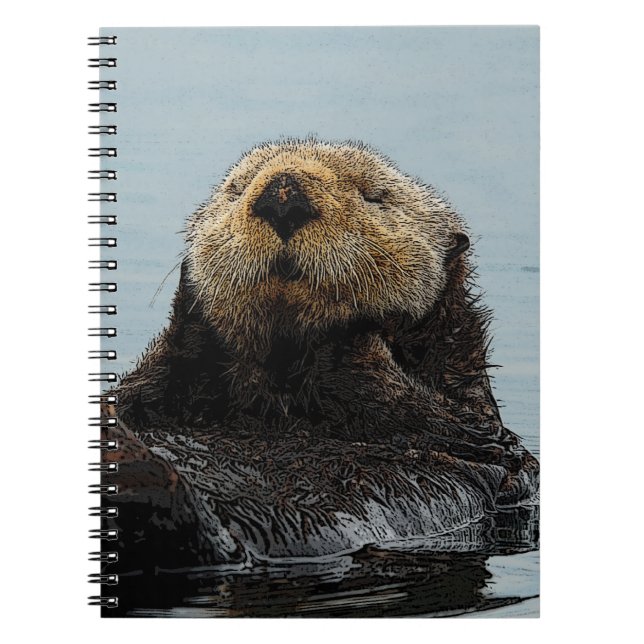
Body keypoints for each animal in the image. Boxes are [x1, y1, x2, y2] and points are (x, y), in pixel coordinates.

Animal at [102, 140, 539, 568]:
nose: (282, 196)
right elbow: (144, 388)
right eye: (237, 189)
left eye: (374, 196)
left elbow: (433, 416)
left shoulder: (477, 432)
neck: (277, 403)